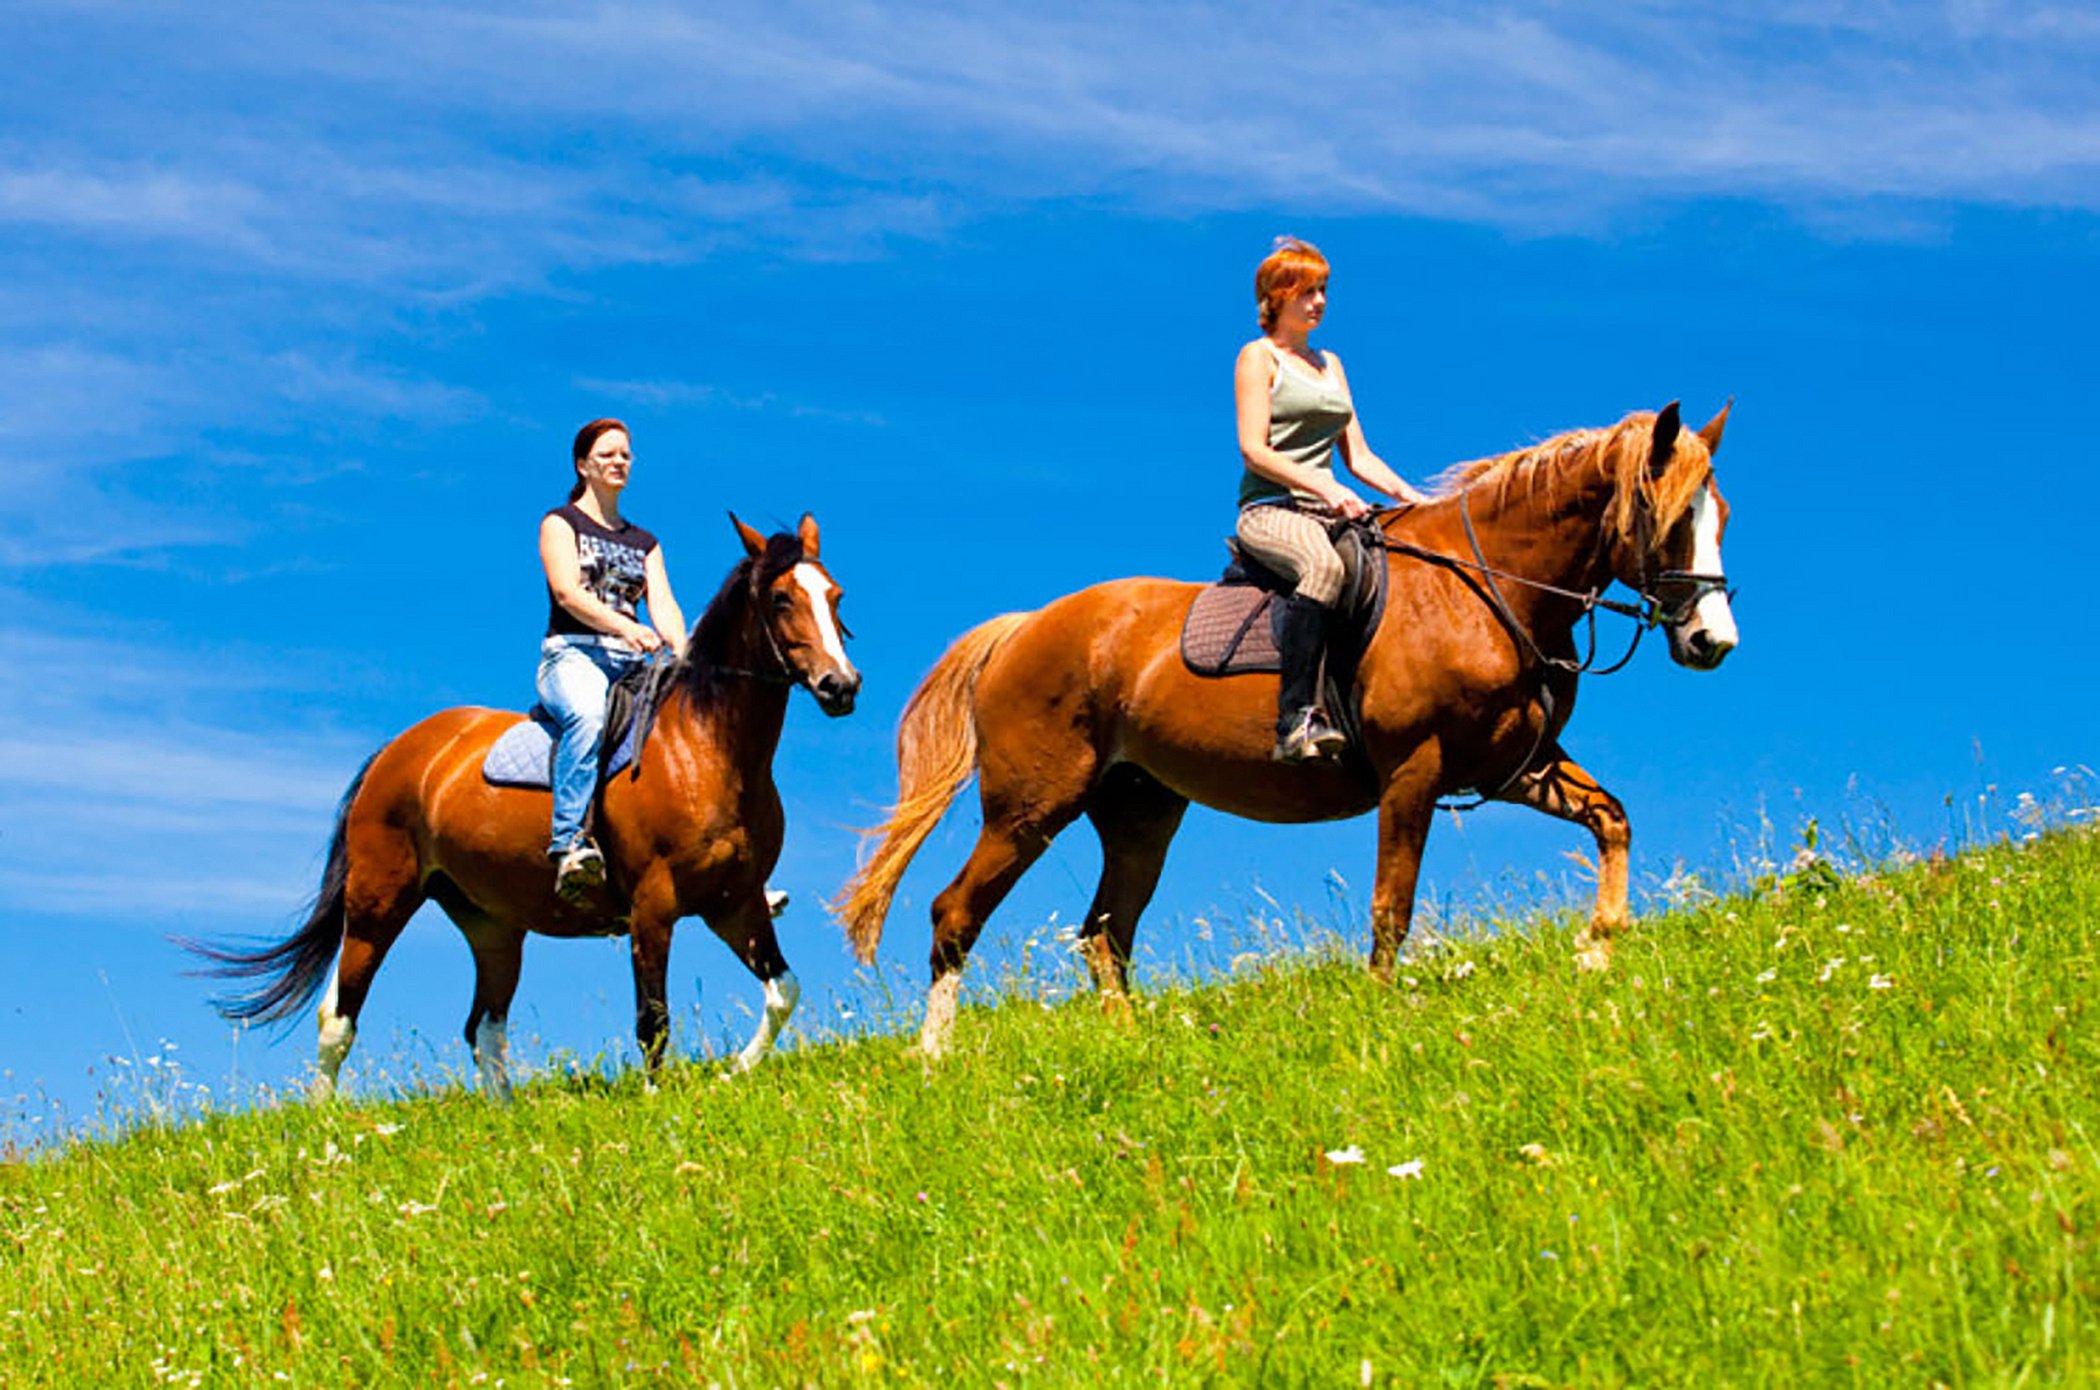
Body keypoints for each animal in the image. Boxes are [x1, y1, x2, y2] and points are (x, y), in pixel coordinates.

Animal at [193, 512, 856, 1100]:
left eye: (835, 595)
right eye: (780, 598)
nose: (841, 685)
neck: (704, 749)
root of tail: (400, 750)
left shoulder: (735, 903)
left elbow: (784, 991)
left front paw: (734, 1072)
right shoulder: (653, 907)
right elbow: (653, 1020)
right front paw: (655, 1099)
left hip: (492, 926)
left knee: (483, 1027)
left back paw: (504, 1113)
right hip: (379, 900)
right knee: (340, 1015)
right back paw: (328, 1122)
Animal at [835, 403, 1738, 1058]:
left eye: (1720, 515)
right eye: (1666, 517)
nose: (1712, 642)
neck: (1485, 591)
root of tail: (1024, 629)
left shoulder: (1517, 767)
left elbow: (1613, 818)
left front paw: (1598, 948)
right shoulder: (1415, 772)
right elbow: (1391, 906)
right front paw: (1381, 1012)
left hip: (1139, 813)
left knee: (1104, 936)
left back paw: (1131, 1048)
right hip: (1030, 808)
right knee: (956, 914)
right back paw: (935, 1060)